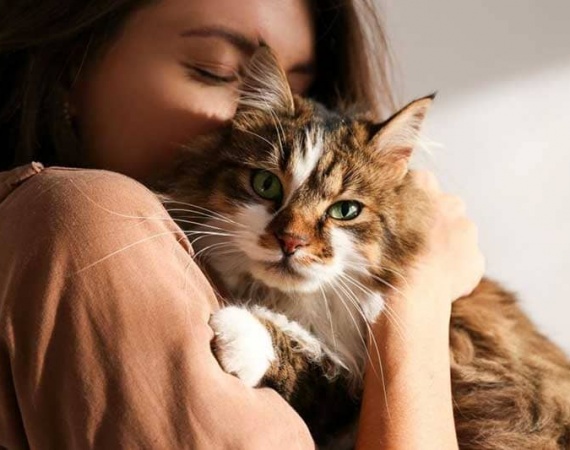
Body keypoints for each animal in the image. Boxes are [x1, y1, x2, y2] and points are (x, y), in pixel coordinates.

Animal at [151, 47, 568, 448]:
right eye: (266, 185)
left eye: (345, 211)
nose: (291, 241)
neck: (296, 303)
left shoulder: (352, 387)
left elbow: (311, 363)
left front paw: (242, 333)